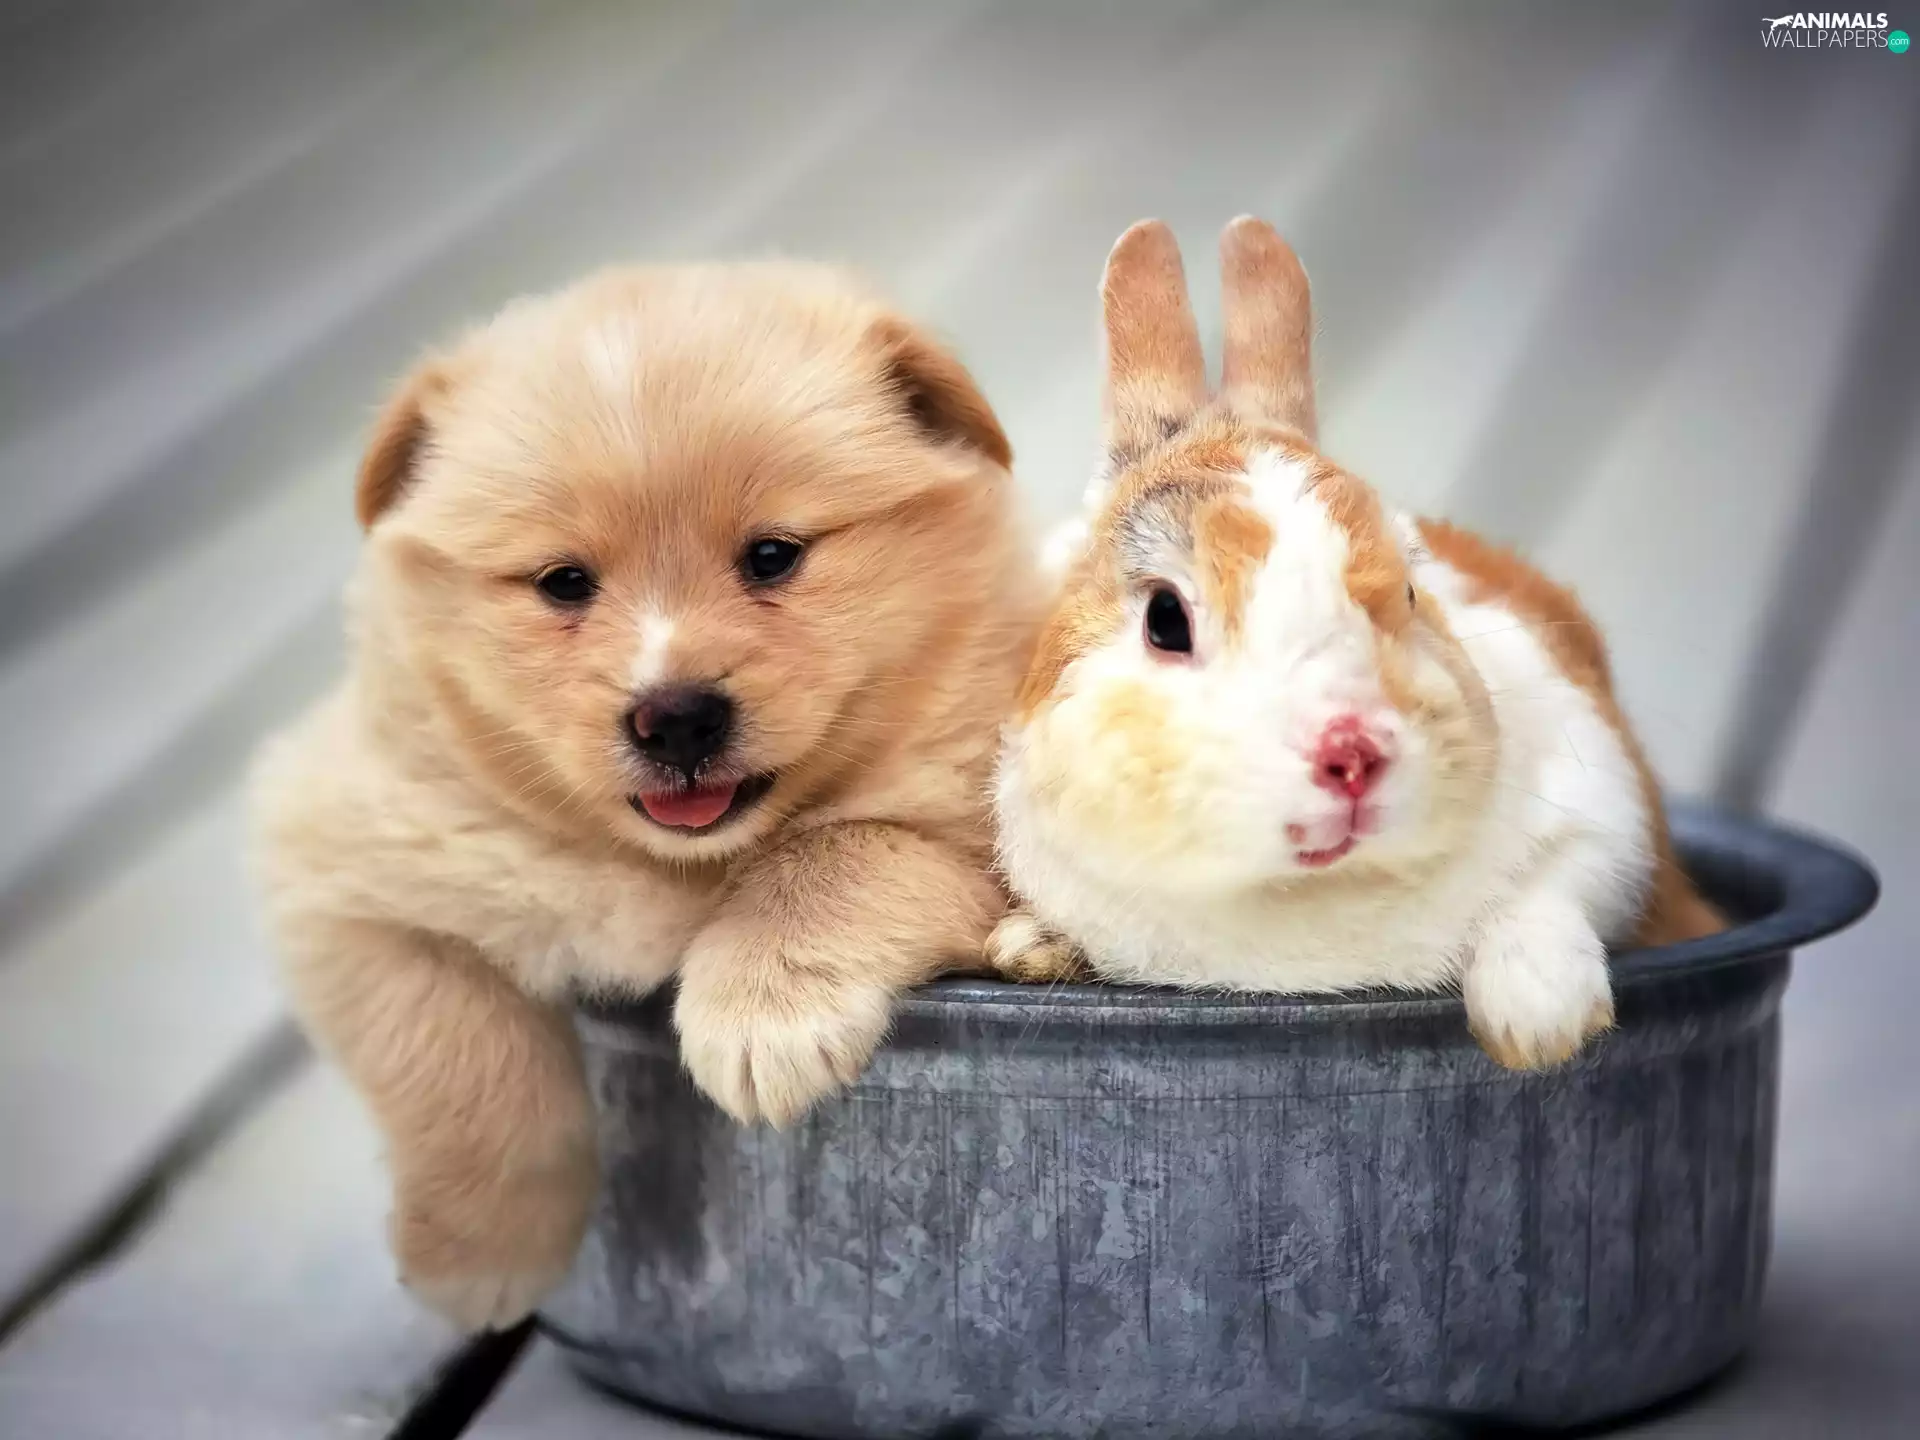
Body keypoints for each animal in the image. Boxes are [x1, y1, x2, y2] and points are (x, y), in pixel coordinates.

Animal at [987, 216, 1721, 1069]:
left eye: (1408, 591)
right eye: (1165, 619)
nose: (1353, 754)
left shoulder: (1605, 807)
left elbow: (1557, 887)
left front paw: (1539, 1024)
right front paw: (1024, 945)